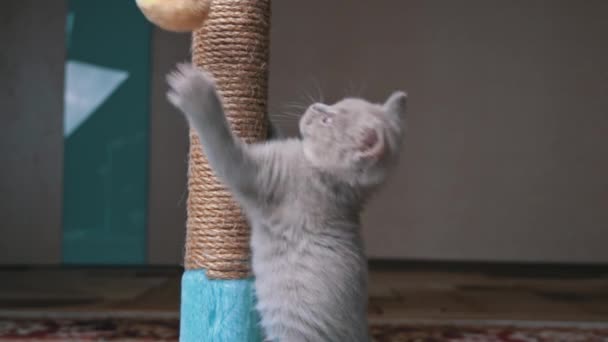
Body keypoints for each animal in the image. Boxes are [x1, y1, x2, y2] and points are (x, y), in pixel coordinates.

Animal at [167, 62, 408, 340]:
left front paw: (196, 91)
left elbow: (223, 143)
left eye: (327, 120)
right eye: (333, 105)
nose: (315, 106)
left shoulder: (259, 175)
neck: (325, 178)